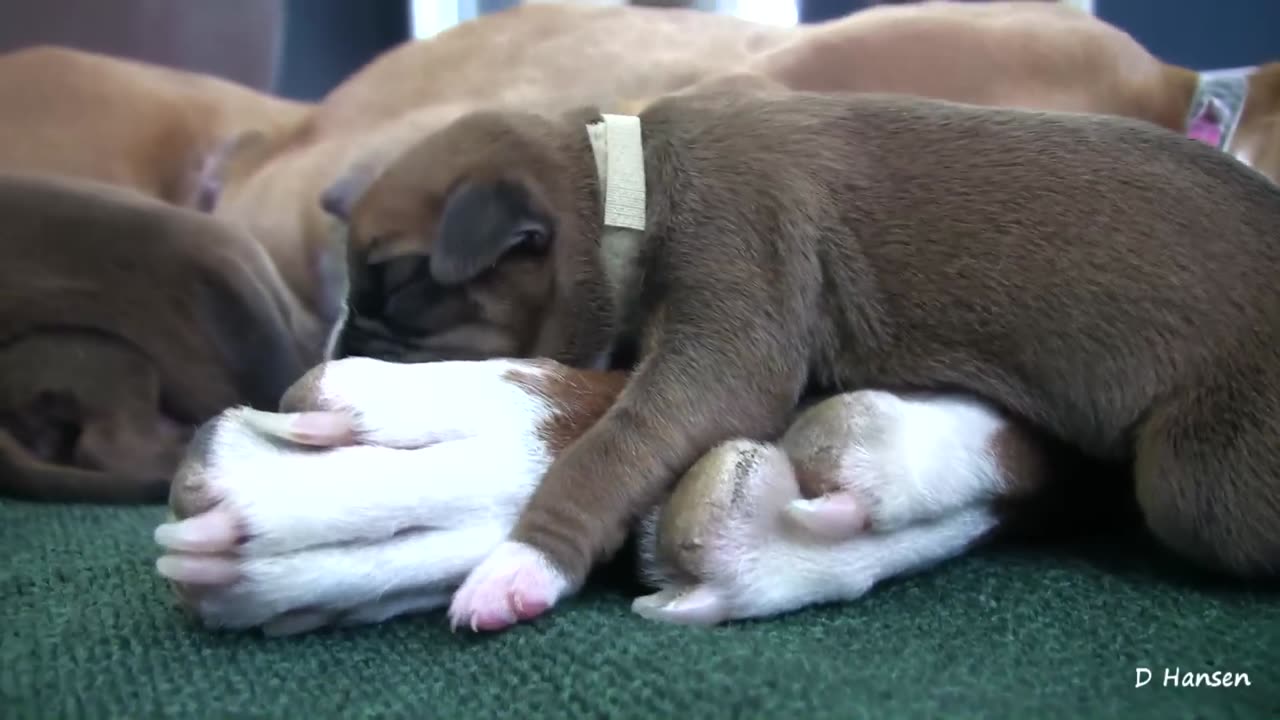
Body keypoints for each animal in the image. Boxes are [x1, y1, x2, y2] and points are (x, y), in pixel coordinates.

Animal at [170, 89, 1280, 632]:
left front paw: (519, 561)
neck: (627, 175)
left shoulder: (738, 266)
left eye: (396, 290)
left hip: (1200, 471)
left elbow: (618, 439)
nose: (342, 341)